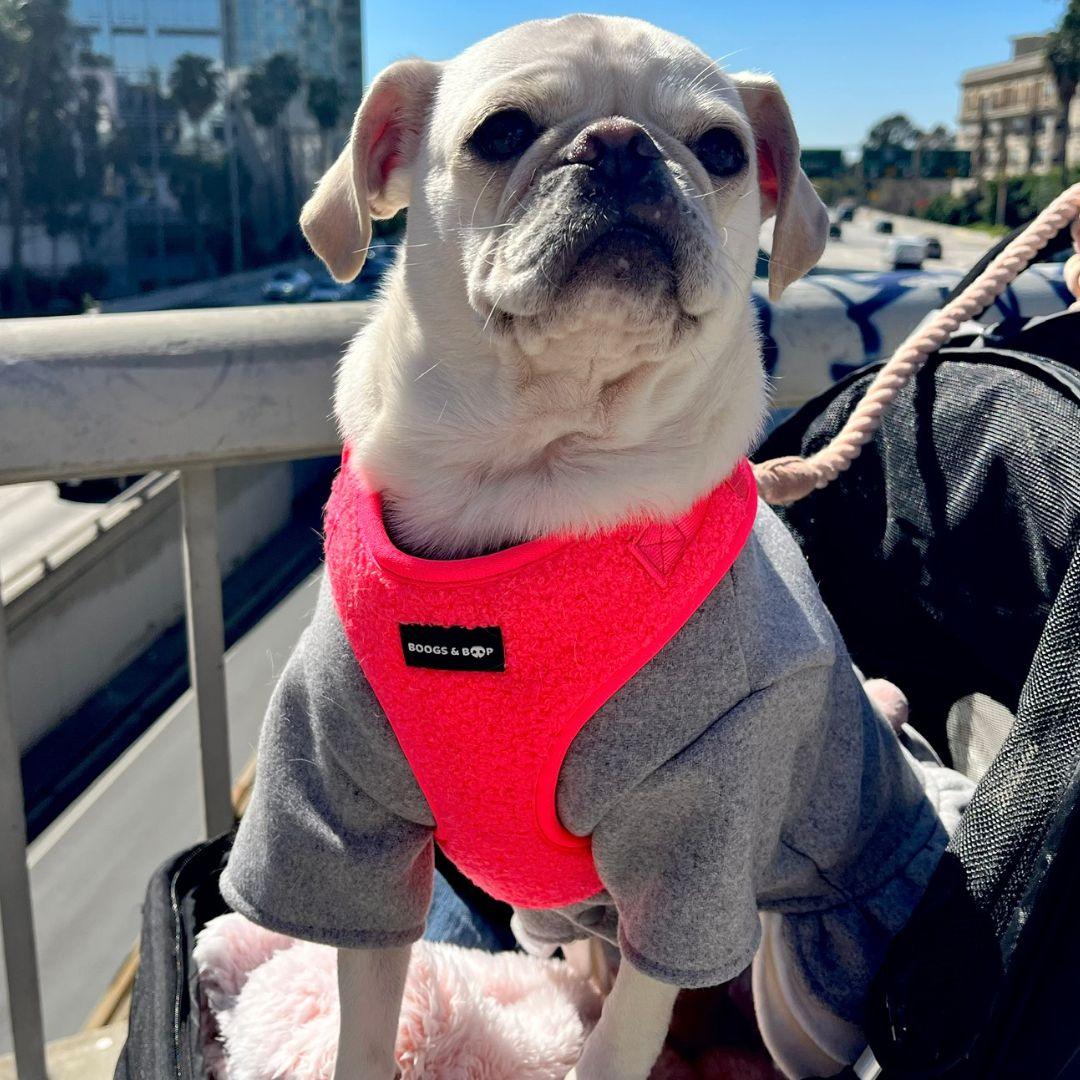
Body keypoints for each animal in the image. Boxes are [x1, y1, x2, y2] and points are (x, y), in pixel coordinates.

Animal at [302, 10, 825, 1080]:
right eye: (500, 132)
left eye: (723, 151)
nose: (623, 146)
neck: (541, 465)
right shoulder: (343, 809)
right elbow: (363, 1015)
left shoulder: (692, 845)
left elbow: (621, 1038)